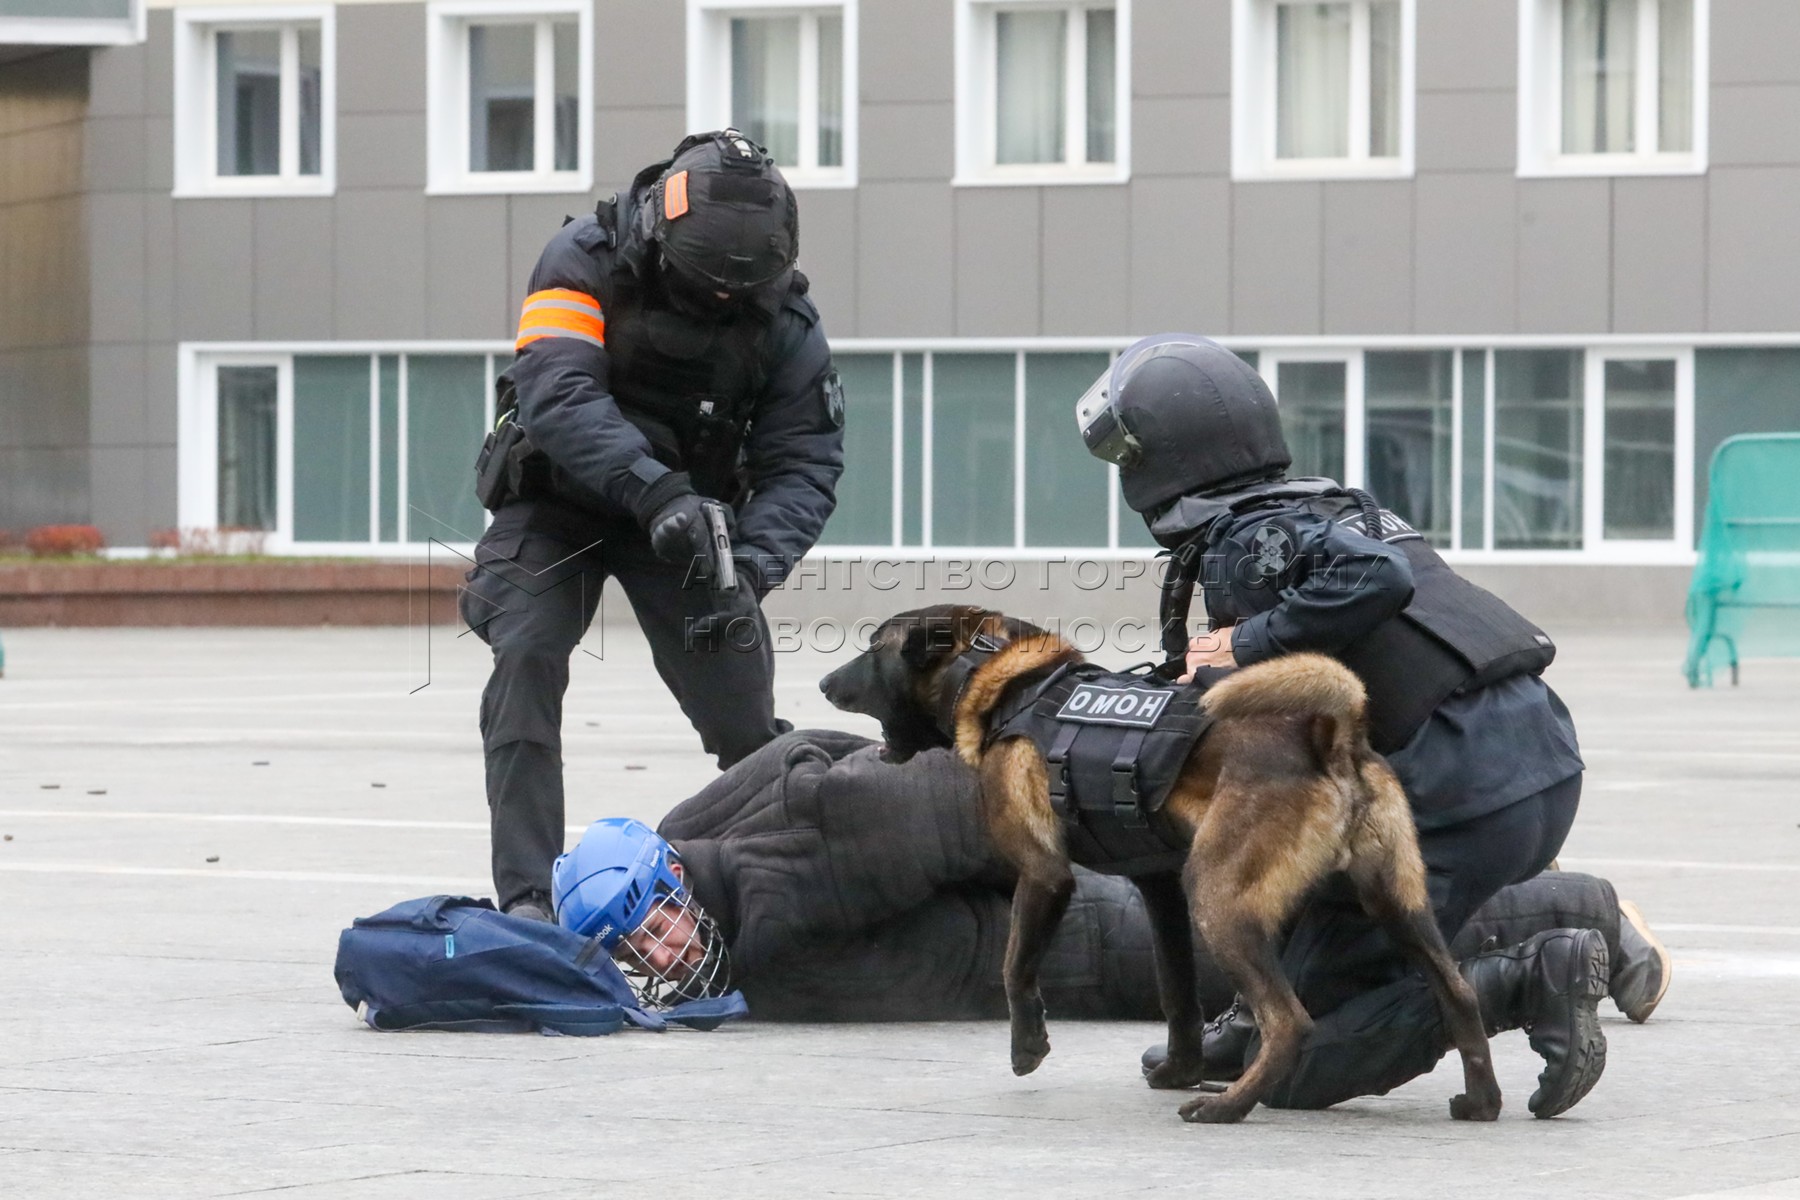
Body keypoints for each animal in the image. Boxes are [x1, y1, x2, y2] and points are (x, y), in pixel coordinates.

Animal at [824, 611, 1497, 1129]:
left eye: (872, 650)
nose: (827, 683)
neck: (1006, 682)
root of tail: (1333, 734)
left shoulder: (1042, 874)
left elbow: (1015, 966)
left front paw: (1028, 1046)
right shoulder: (1161, 888)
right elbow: (1178, 992)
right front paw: (1180, 1069)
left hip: (1219, 901)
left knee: (1290, 1022)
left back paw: (1229, 1107)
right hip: (1397, 904)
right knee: (1460, 992)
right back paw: (1482, 1101)